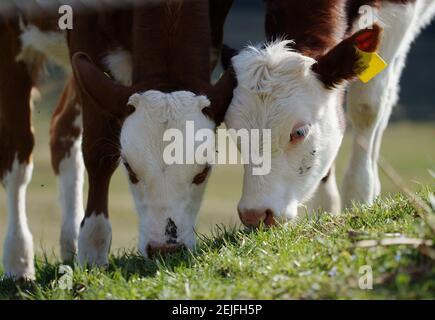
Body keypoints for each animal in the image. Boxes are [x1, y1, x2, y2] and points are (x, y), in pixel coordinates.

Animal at [0, 0, 235, 278]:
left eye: (202, 172)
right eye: (131, 171)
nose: (165, 250)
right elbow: (99, 150)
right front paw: (93, 249)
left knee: (61, 127)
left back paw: (69, 244)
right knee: (19, 151)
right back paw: (18, 259)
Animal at [225, 0, 435, 226]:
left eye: (299, 132)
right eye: (235, 134)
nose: (254, 215)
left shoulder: (398, 11)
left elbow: (366, 106)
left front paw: (359, 196)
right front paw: (324, 208)